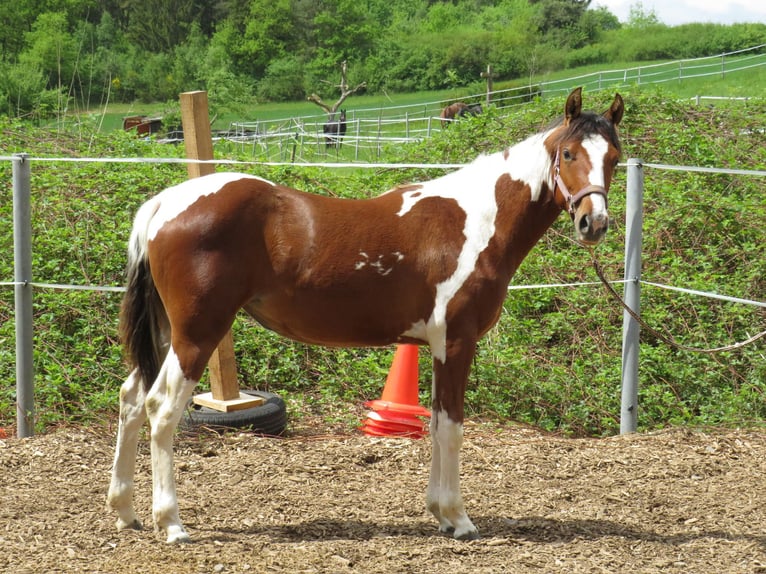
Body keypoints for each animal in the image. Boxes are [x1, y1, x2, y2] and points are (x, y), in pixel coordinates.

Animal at [107, 87, 624, 543]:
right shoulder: (457, 342)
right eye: (569, 153)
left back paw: (126, 511)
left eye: (615, 158)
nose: (593, 223)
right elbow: (453, 429)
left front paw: (439, 512)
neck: (477, 222)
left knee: (131, 398)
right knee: (161, 408)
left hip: (169, 332)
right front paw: (458, 519)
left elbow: (436, 425)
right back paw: (171, 524)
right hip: (197, 334)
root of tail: (165, 203)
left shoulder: (437, 347)